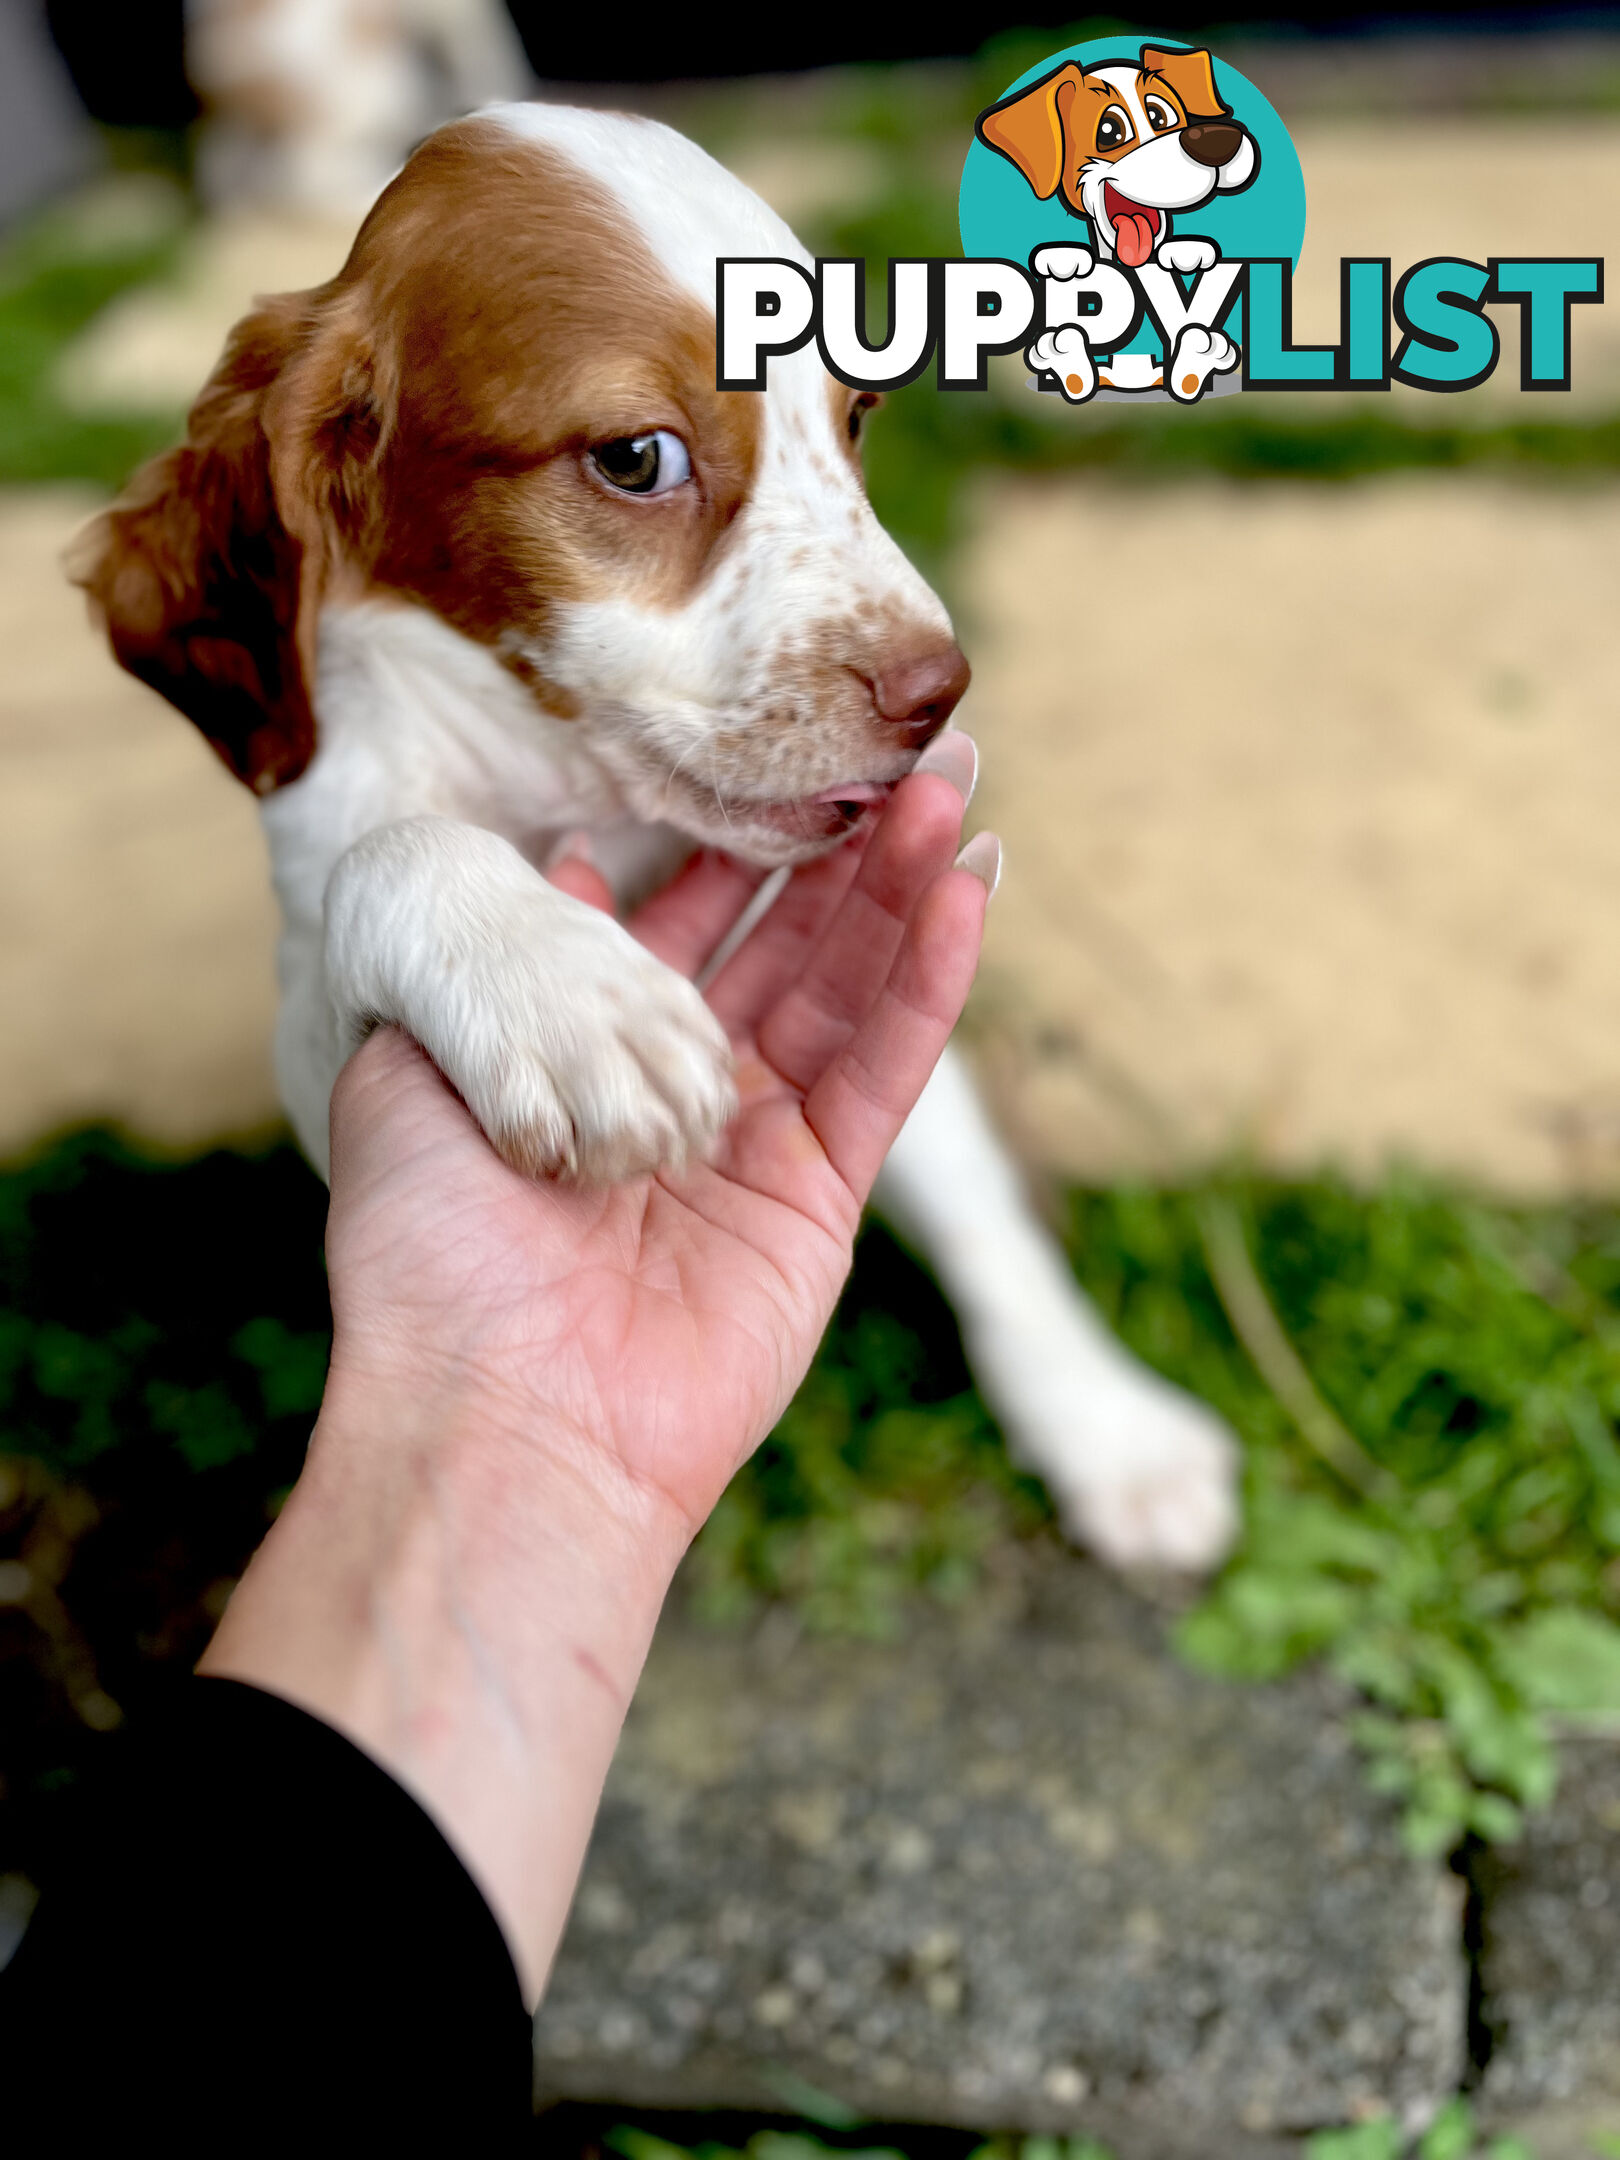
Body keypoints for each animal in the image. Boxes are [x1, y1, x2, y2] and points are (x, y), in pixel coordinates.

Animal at [72, 101, 1244, 1572]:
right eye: (639, 459)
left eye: (856, 417)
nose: (941, 692)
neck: (567, 790)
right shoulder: (319, 1034)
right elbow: (387, 857)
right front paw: (565, 995)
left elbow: (978, 1203)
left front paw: (1106, 1423)